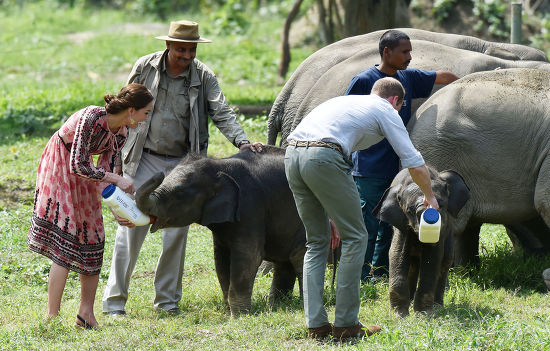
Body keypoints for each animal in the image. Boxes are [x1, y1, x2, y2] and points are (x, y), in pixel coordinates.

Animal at [134, 145, 306, 316]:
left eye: (179, 193)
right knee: (285, 261)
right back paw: (277, 306)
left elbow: (249, 257)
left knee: (299, 256)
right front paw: (229, 311)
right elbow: (221, 260)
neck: (219, 165)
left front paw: (239, 316)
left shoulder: (250, 208)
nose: (159, 174)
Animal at [376, 166, 470, 318]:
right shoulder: (401, 222)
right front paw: (399, 316)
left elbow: (433, 257)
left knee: (445, 261)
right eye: (409, 211)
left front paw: (423, 315)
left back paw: (437, 306)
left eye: (440, 205)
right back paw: (410, 300)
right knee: (412, 264)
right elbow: (397, 253)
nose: (428, 214)